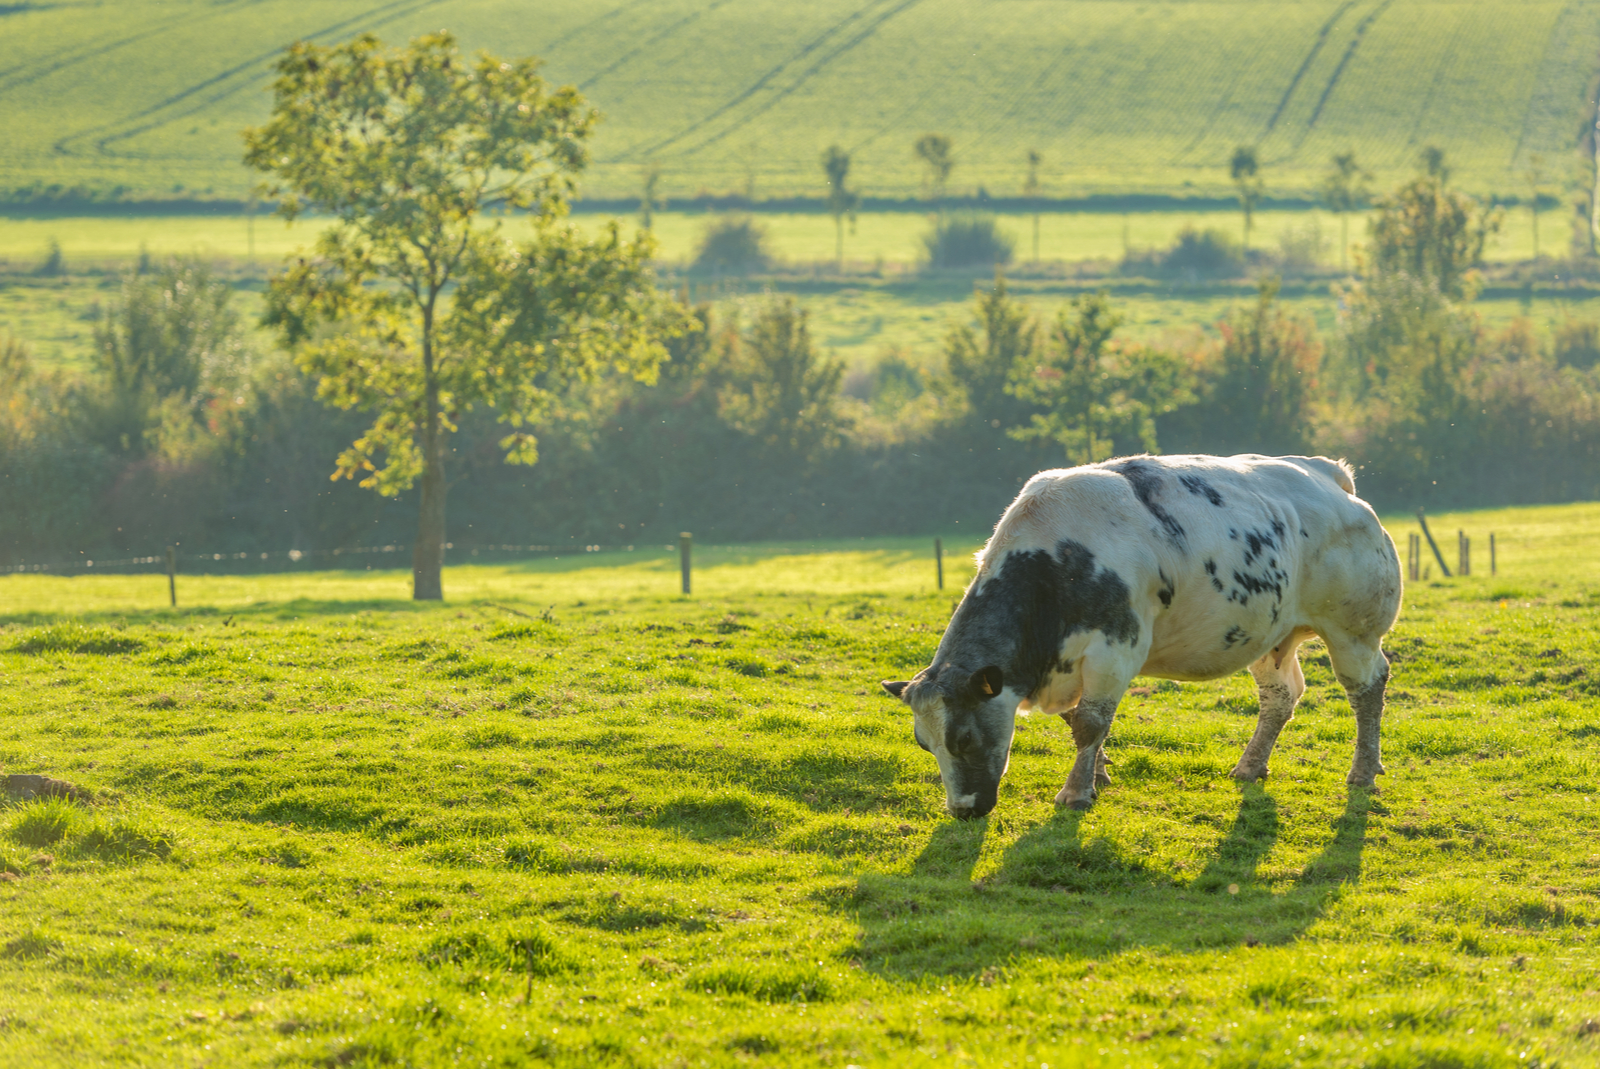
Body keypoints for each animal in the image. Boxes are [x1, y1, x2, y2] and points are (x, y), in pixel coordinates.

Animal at [889, 454, 1401, 819]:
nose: (962, 811)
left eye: (964, 739)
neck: (1057, 559)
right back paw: (1251, 766)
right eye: (924, 743)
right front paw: (1097, 774)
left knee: (1366, 689)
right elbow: (1078, 721)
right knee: (1281, 696)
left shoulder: (1115, 649)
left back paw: (1362, 770)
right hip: (1271, 636)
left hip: (1353, 632)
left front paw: (1076, 792)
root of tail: (1326, 474)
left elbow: (1090, 721)